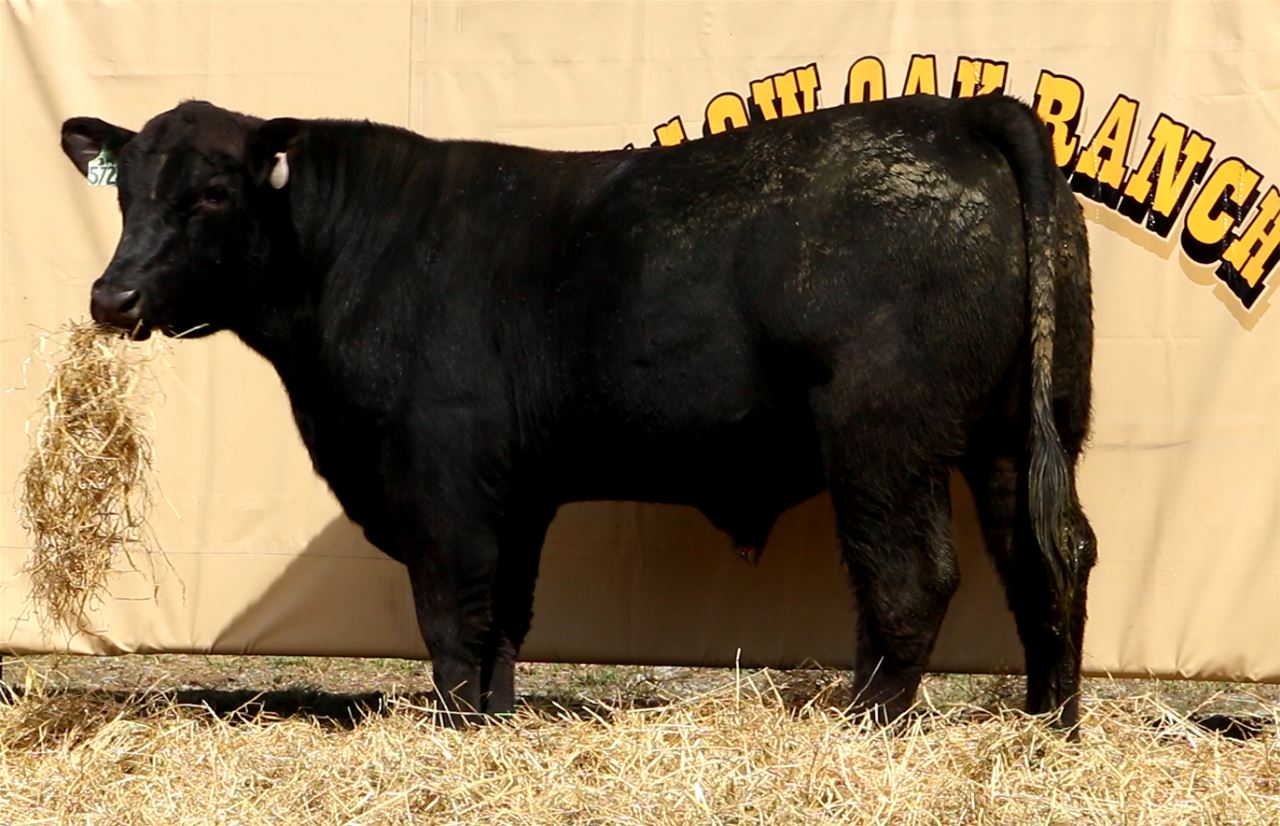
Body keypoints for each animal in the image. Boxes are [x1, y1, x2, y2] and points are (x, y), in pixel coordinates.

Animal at [59, 93, 1097, 733]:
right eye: (128, 191)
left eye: (211, 193)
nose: (112, 297)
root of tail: (960, 111)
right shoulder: (517, 491)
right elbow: (506, 619)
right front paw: (495, 722)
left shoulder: (443, 482)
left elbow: (454, 616)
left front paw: (455, 730)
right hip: (1025, 429)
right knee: (1051, 558)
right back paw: (1049, 724)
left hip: (882, 435)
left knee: (911, 577)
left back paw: (867, 728)